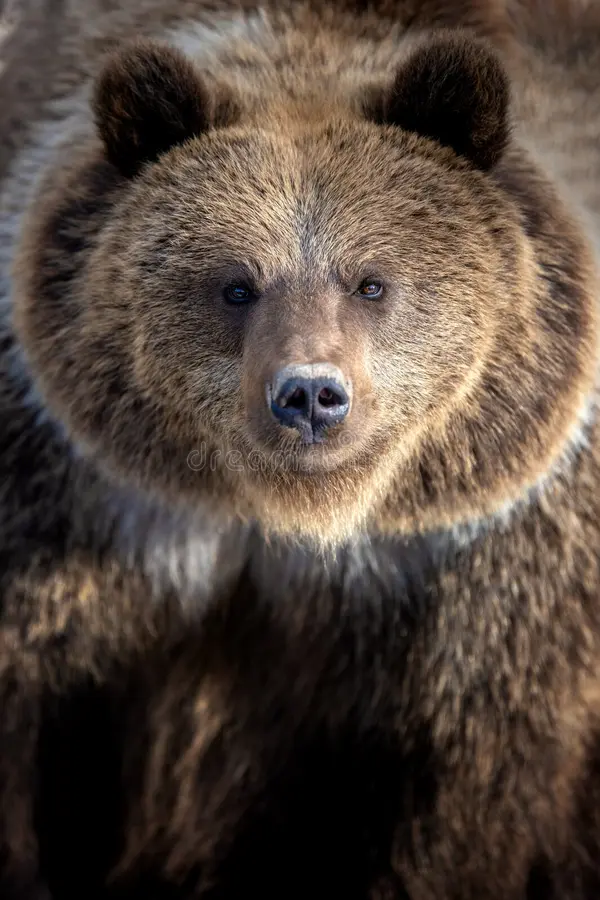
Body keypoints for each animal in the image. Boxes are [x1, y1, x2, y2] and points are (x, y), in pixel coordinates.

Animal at [2, 0, 600, 897]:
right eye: (236, 284)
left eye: (372, 281)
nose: (311, 395)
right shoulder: (68, 509)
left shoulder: (490, 576)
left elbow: (452, 792)